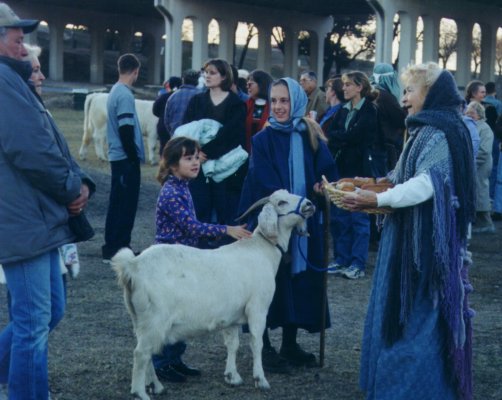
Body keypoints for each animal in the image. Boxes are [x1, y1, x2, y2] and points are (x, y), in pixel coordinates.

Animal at [112, 191, 314, 400]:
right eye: (281, 202)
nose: (309, 204)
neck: (261, 250)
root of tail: (132, 266)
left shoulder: (232, 315)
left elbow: (232, 344)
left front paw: (232, 376)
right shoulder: (258, 308)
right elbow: (256, 342)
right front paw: (261, 379)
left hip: (138, 319)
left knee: (147, 352)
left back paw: (156, 386)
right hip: (154, 319)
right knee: (141, 353)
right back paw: (140, 392)